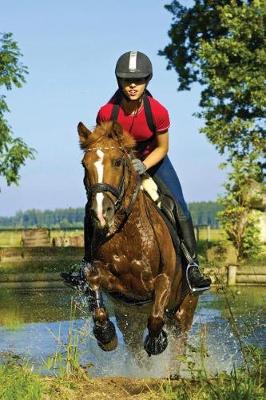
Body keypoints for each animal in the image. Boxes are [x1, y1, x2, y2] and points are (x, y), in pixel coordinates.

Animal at [77, 119, 197, 356]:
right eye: (84, 164)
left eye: (117, 162)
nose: (100, 212)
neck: (127, 234)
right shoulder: (118, 288)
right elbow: (94, 285)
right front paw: (105, 335)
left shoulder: (164, 280)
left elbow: (156, 316)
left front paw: (157, 341)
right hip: (129, 320)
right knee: (135, 349)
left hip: (184, 313)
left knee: (177, 348)